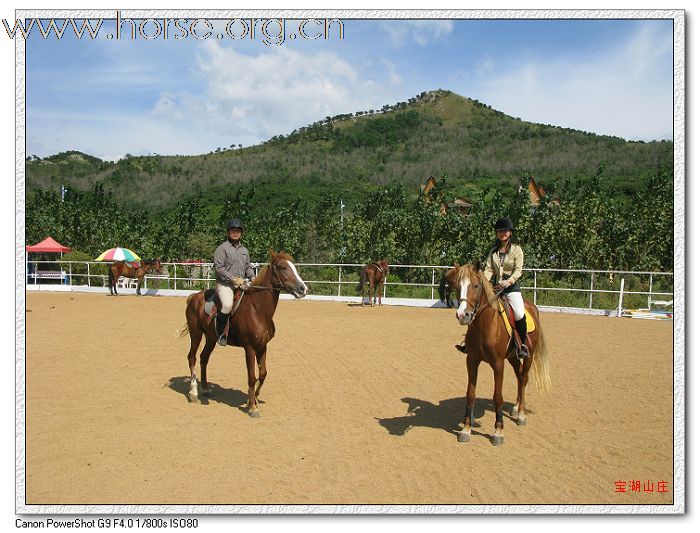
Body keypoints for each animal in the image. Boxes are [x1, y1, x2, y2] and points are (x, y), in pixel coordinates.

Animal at [178, 251, 306, 418]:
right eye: (282, 267)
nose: (302, 288)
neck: (257, 310)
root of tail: (193, 297)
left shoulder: (262, 346)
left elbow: (263, 374)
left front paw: (254, 399)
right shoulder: (249, 348)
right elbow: (251, 377)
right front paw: (252, 407)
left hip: (211, 338)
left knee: (204, 358)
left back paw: (206, 389)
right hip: (196, 334)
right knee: (192, 357)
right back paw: (193, 393)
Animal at [454, 262, 552, 444]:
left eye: (476, 286)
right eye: (458, 286)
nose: (463, 315)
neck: (485, 325)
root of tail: (532, 307)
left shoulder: (498, 364)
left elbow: (497, 396)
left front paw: (498, 431)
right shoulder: (472, 360)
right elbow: (470, 393)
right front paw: (466, 429)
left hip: (528, 356)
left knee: (524, 377)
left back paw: (521, 415)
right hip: (513, 357)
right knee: (520, 377)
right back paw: (516, 407)